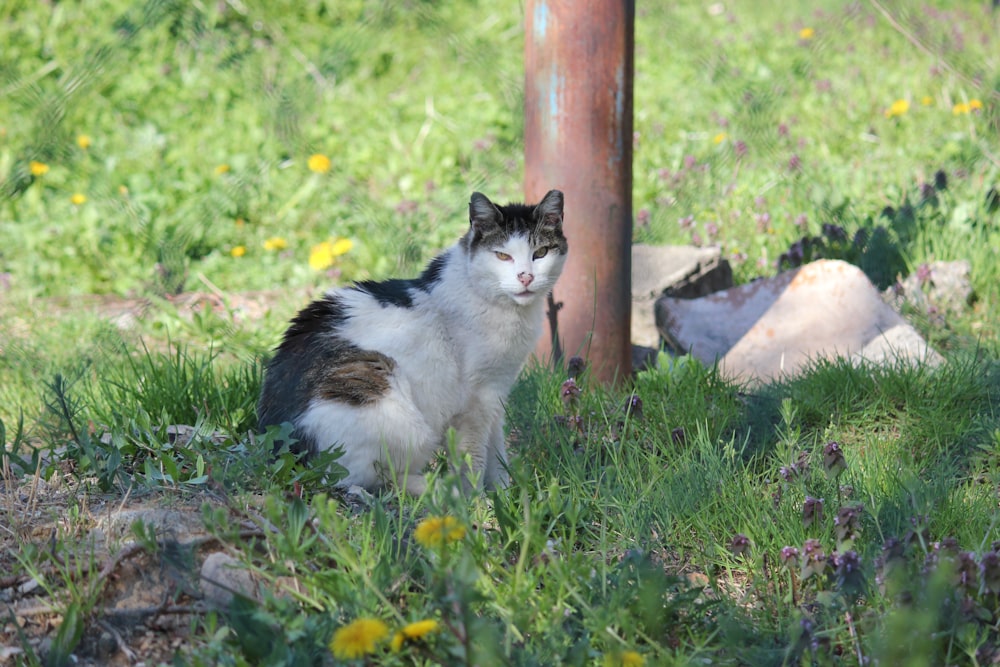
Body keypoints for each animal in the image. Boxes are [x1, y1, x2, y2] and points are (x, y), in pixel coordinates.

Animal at [258, 188, 568, 496]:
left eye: (540, 253)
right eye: (503, 256)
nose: (525, 277)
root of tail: (285, 448)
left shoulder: (497, 389)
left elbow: (496, 445)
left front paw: (506, 491)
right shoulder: (475, 401)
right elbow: (475, 456)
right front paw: (478, 500)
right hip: (394, 409)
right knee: (366, 478)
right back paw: (438, 488)